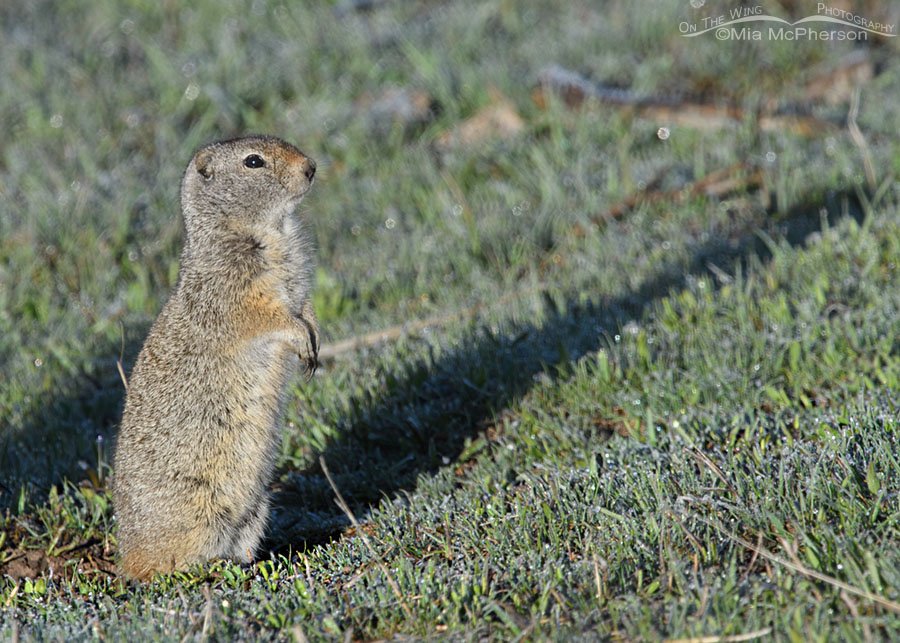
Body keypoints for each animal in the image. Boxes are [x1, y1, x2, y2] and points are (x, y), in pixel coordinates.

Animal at [112, 135, 319, 581]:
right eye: (253, 162)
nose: (311, 167)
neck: (273, 229)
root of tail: (125, 559)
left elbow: (306, 306)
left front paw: (315, 345)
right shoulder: (233, 287)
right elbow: (268, 315)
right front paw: (302, 339)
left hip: (256, 510)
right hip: (199, 514)